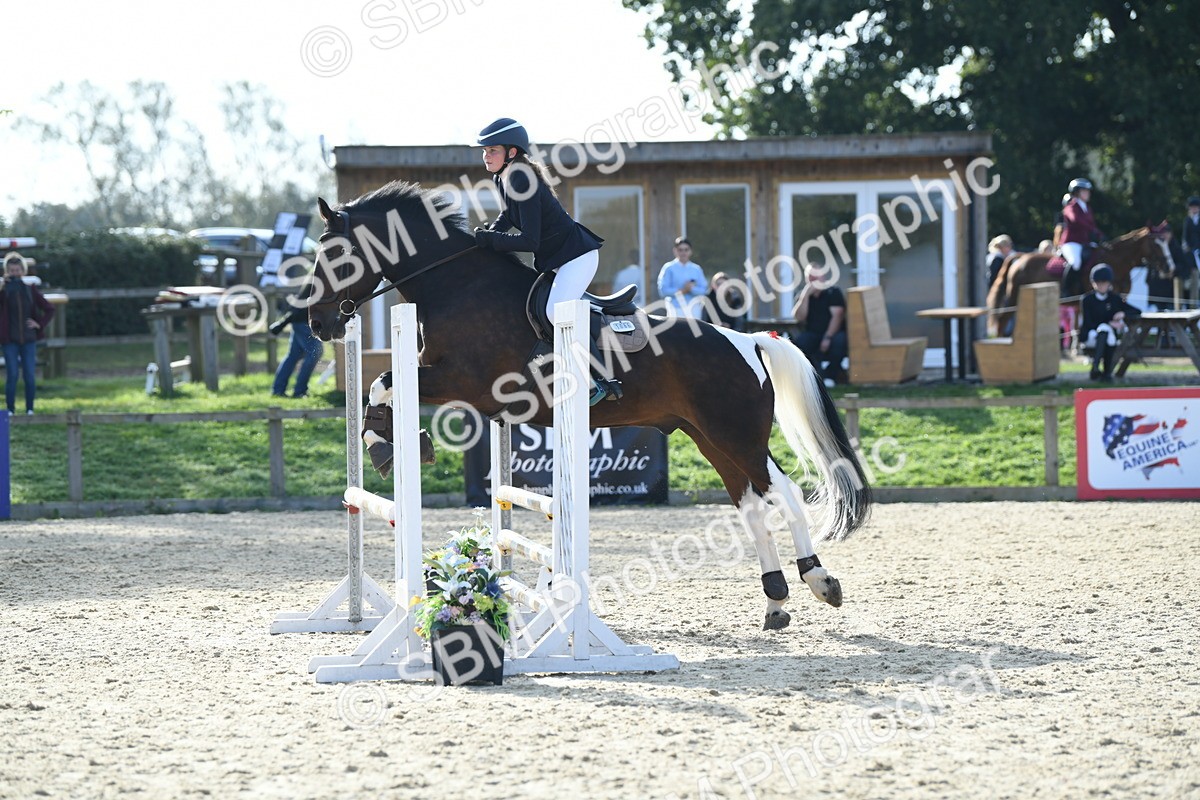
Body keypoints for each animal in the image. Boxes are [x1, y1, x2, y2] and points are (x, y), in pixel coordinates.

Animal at [305, 180, 872, 631]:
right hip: (711, 439)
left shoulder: (466, 381)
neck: (458, 286)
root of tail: (748, 340)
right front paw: (384, 443)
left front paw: (390, 445)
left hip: (737, 436)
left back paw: (820, 580)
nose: (318, 324)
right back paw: (775, 601)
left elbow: (383, 384)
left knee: (787, 493)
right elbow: (380, 388)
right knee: (752, 505)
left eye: (334, 256)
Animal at [986, 224, 1175, 337]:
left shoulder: (1120, 299)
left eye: (1166, 243)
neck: (1115, 261)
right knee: (1002, 322)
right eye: (1156, 244)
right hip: (1014, 297)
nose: (1170, 267)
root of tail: (1020, 258)